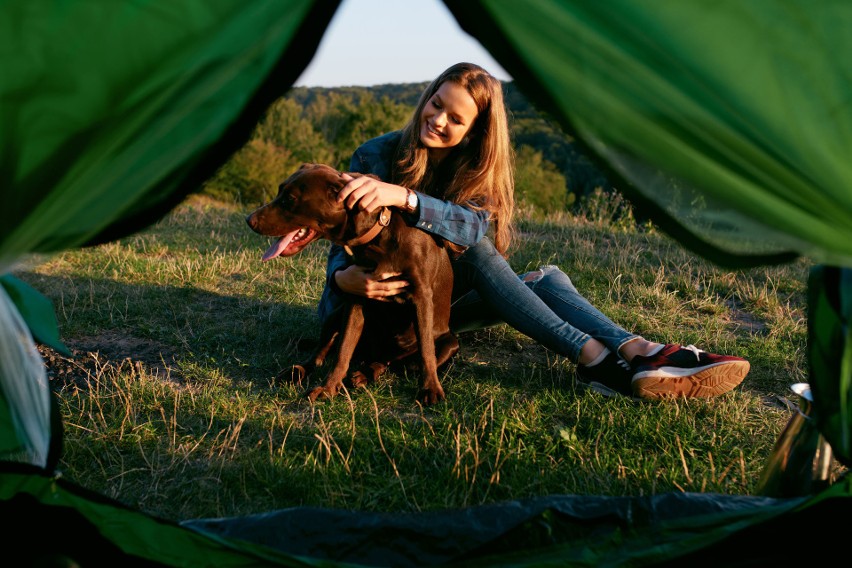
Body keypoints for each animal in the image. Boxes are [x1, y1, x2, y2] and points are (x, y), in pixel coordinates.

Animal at [246, 162, 460, 406]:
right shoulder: (356, 295)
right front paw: (328, 388)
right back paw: (300, 371)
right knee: (319, 355)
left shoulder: (421, 297)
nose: (249, 220)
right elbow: (343, 350)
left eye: (290, 199)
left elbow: (426, 350)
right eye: (280, 191)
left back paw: (365, 374)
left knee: (394, 362)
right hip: (335, 315)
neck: (378, 236)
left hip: (450, 342)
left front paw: (431, 388)